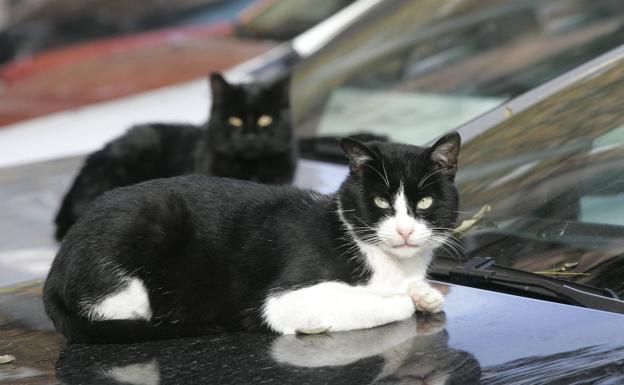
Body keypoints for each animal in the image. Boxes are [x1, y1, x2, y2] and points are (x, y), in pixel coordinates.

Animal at [44, 133, 460, 342]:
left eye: (424, 202)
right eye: (380, 201)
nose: (405, 230)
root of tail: (56, 264)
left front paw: (424, 293)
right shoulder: (281, 301)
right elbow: (386, 304)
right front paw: (408, 299)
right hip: (142, 242)